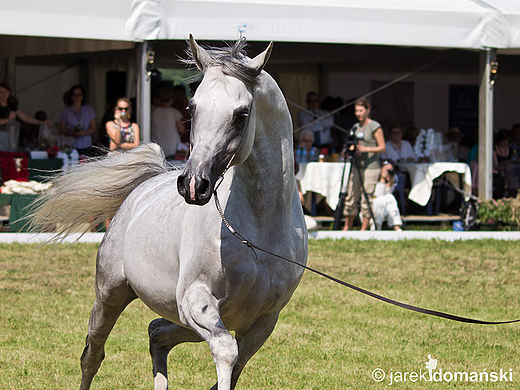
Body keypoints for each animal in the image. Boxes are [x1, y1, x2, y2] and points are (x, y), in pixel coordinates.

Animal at [30, 35, 308, 388]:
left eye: (242, 114)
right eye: (192, 107)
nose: (193, 184)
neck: (259, 230)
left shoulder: (261, 324)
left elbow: (233, 369)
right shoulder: (195, 300)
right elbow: (226, 353)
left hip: (184, 323)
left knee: (156, 333)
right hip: (111, 295)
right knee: (93, 354)